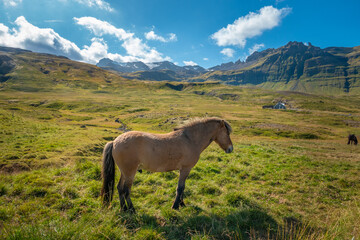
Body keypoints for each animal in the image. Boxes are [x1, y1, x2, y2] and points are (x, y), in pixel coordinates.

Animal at [100, 117, 233, 211]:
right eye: (227, 133)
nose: (231, 149)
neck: (190, 139)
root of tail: (115, 142)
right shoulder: (186, 169)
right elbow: (180, 188)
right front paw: (175, 206)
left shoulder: (183, 170)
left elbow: (183, 187)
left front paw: (182, 204)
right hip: (130, 172)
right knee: (126, 190)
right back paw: (132, 210)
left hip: (124, 172)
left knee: (119, 188)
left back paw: (123, 209)